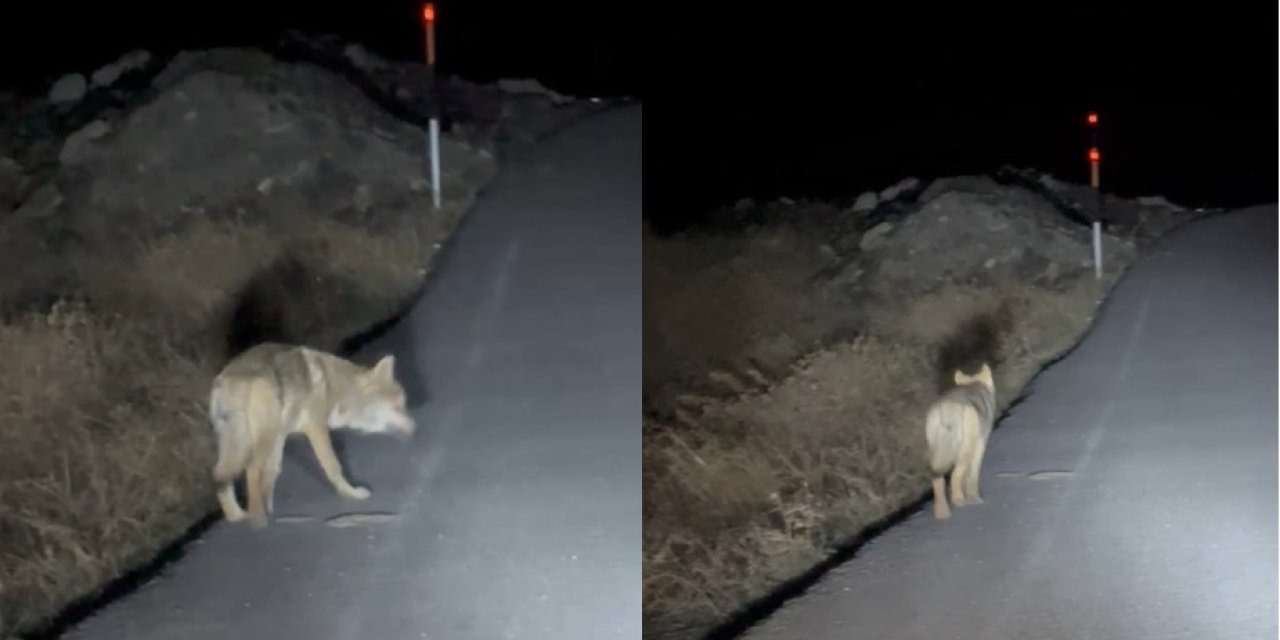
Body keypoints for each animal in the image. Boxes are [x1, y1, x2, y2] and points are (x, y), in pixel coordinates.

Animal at [207, 343, 412, 527]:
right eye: (397, 407)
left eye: (403, 405)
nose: (414, 427)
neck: (337, 390)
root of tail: (225, 382)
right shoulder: (316, 427)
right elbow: (333, 466)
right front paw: (351, 494)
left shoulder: (281, 436)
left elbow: (272, 472)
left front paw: (271, 510)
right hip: (262, 437)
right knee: (250, 469)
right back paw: (257, 519)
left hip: (247, 443)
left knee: (220, 476)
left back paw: (237, 516)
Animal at [926, 363, 993, 517]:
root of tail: (947, 407)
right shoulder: (980, 445)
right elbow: (972, 476)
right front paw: (975, 499)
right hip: (965, 451)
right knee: (955, 476)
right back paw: (958, 500)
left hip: (936, 454)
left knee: (937, 480)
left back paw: (942, 514)